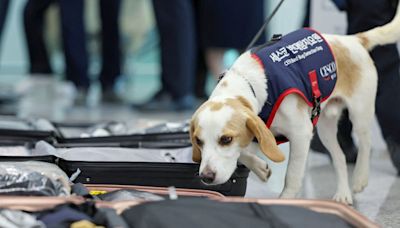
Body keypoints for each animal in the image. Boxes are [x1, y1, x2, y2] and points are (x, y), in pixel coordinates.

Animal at [189, 3, 400, 205]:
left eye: (226, 139)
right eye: (198, 141)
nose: (206, 177)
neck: (248, 82)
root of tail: (352, 40)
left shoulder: (301, 134)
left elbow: (292, 175)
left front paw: (286, 199)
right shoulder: (260, 133)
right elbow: (242, 153)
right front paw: (260, 167)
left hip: (360, 113)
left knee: (365, 143)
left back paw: (360, 179)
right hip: (324, 128)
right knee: (340, 157)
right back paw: (343, 194)